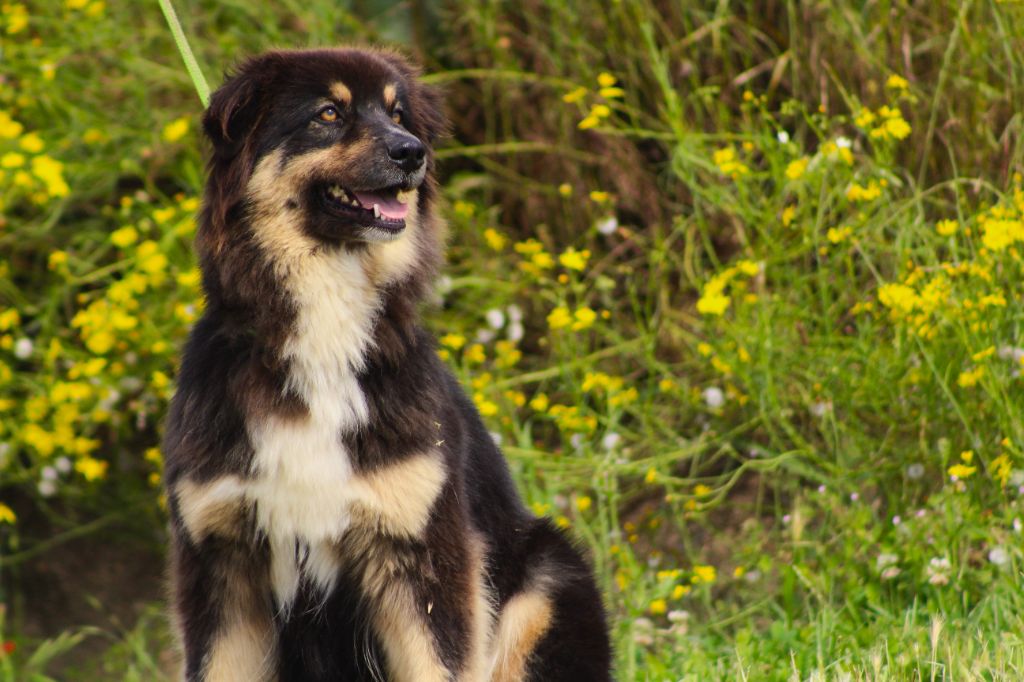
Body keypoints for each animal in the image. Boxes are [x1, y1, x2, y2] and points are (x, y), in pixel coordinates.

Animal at [159, 47, 606, 679]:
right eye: (328, 113)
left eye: (399, 115)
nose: (412, 153)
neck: (324, 326)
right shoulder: (221, 561)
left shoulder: (421, 554)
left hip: (549, 576)